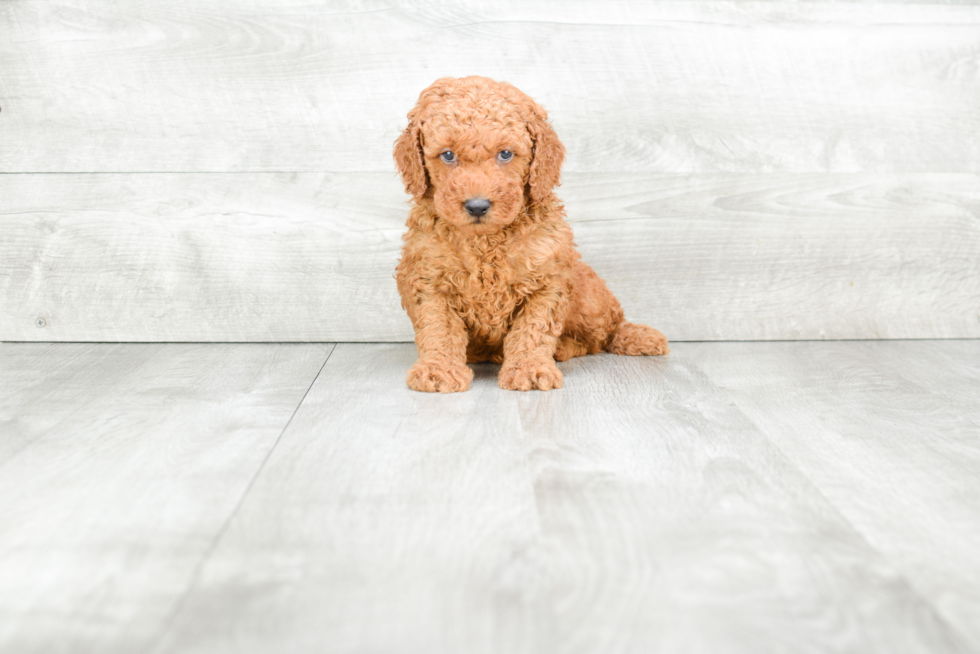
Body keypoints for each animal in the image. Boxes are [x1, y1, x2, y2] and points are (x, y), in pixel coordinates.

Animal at [394, 77, 668, 394]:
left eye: (505, 154)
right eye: (448, 155)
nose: (477, 206)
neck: (485, 242)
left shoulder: (547, 279)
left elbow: (533, 329)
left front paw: (529, 368)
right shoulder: (429, 280)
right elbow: (439, 328)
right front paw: (438, 370)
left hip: (588, 298)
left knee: (608, 328)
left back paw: (637, 336)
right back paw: (562, 348)